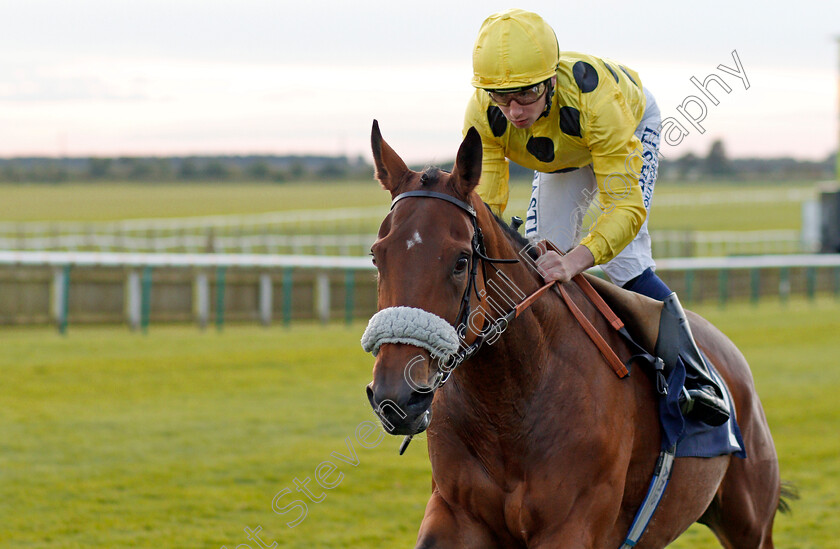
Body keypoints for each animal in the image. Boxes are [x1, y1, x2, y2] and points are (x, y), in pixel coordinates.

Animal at [364, 122, 784, 544]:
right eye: (376, 255)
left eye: (461, 261)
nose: (396, 397)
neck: (507, 404)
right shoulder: (455, 512)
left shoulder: (572, 524)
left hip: (749, 522)